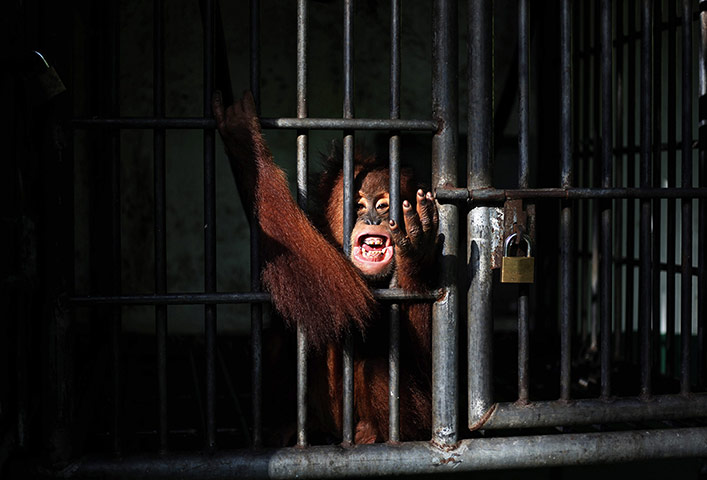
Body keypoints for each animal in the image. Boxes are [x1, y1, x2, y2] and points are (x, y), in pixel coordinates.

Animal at [213, 91, 437, 444]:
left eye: (384, 204)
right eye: (359, 204)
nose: (371, 218)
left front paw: (414, 256)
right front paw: (243, 138)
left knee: (378, 362)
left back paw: (372, 433)